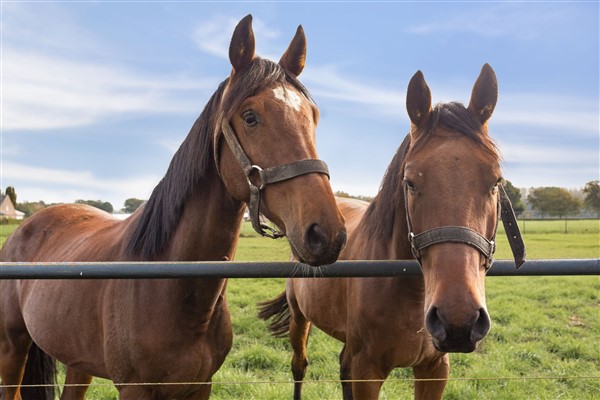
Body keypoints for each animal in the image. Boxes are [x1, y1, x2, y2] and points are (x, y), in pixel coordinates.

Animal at [1, 15, 346, 400]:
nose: (326, 233)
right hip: (12, 348)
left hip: (77, 363)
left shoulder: (200, 385)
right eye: (250, 116)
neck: (171, 286)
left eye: (312, 116)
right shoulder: (135, 389)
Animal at [262, 64, 520, 398]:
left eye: (495, 181)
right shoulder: (367, 371)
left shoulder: (434, 369)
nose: (458, 320)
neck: (410, 293)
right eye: (410, 182)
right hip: (299, 318)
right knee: (299, 366)